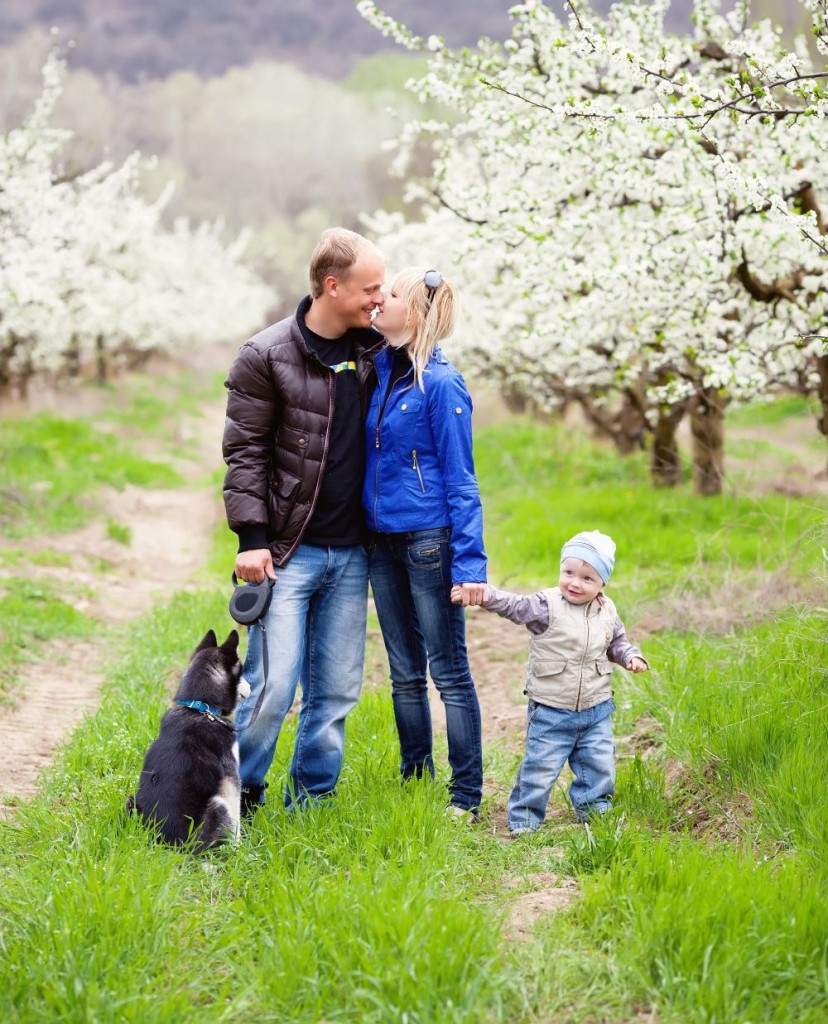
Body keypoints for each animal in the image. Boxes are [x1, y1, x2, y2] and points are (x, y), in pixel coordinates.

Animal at [127, 626, 250, 851]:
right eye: (242, 673)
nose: (252, 686)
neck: (200, 708)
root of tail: (173, 847)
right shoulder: (231, 777)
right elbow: (236, 815)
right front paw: (240, 848)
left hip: (131, 802)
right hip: (218, 806)